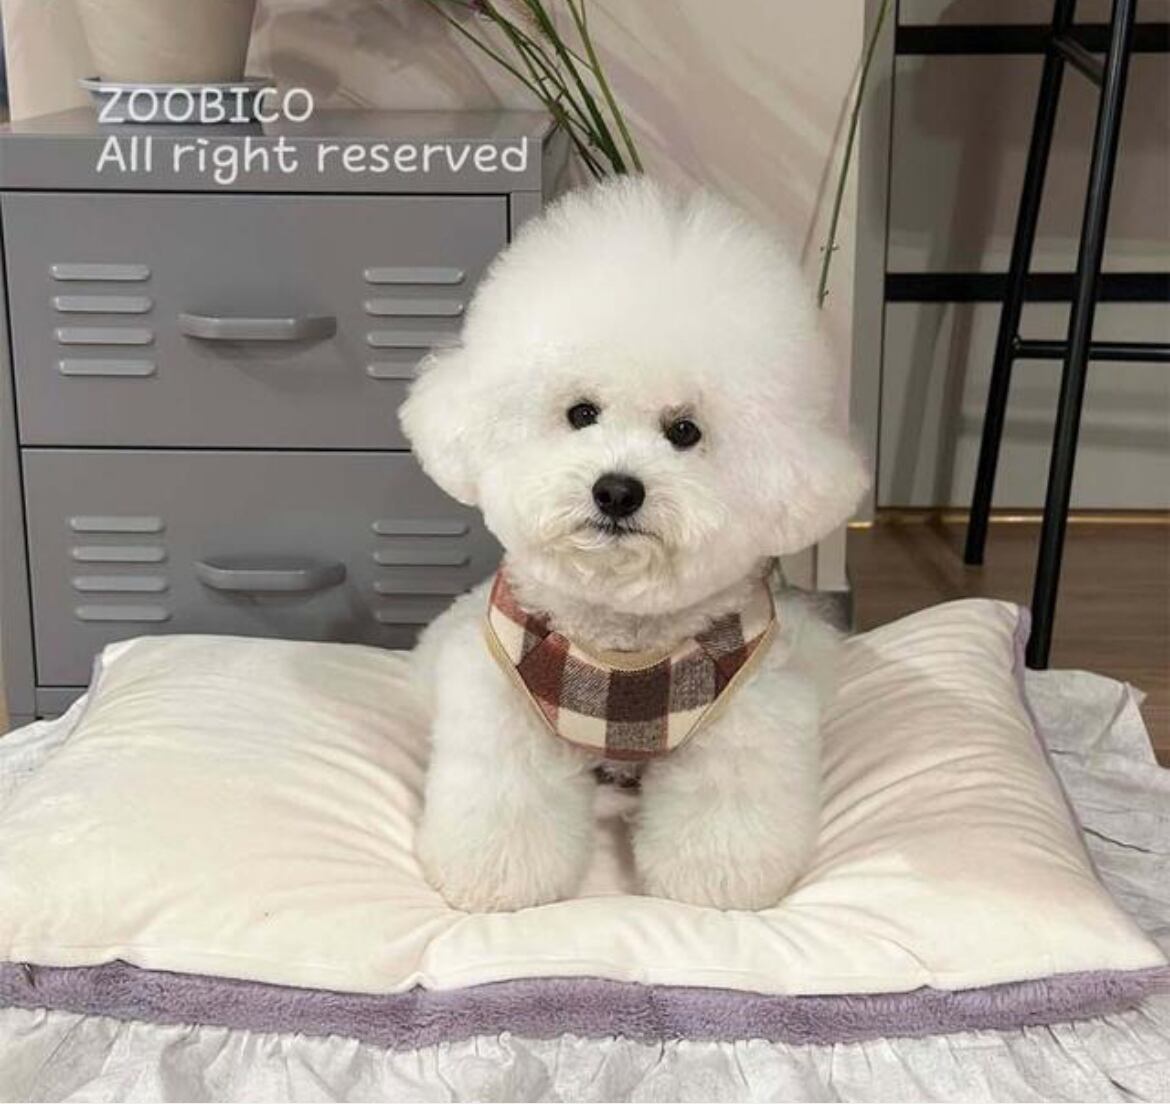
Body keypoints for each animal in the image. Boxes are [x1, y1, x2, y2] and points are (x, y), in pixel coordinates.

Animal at [400, 178, 868, 912]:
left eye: (684, 431)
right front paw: (495, 878)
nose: (617, 491)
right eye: (581, 413)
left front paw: (714, 883)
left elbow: (725, 808)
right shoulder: (505, 704)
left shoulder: (747, 716)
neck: (621, 642)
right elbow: (506, 797)